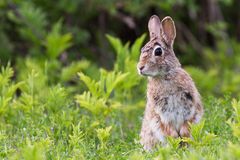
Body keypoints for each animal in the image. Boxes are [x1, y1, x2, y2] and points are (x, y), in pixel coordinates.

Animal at [138, 14, 203, 151]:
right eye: (142, 50)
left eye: (158, 52)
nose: (140, 67)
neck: (164, 76)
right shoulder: (160, 115)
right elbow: (166, 128)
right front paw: (175, 138)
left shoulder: (190, 107)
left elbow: (187, 124)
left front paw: (183, 136)